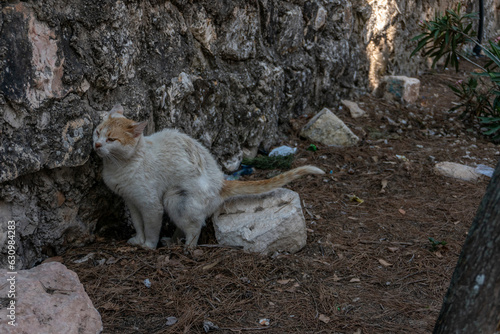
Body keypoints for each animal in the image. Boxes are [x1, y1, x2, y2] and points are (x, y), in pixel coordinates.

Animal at [94, 105, 326, 249]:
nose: (96, 145)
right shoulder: (132, 201)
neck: (120, 166)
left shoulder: (151, 205)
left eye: (111, 139)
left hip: (174, 197)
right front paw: (137, 240)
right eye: (97, 132)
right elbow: (138, 224)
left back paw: (186, 248)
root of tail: (221, 182)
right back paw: (172, 241)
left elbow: (151, 228)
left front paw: (149, 246)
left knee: (194, 226)